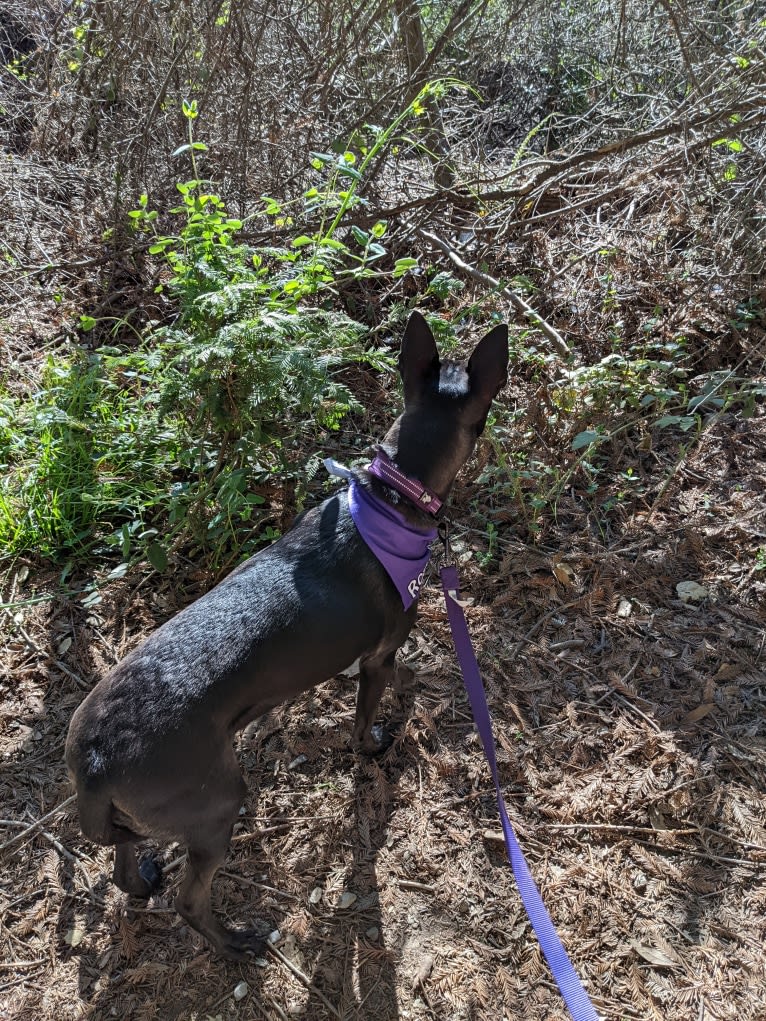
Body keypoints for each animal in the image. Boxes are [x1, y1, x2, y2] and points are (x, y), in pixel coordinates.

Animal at [65, 312, 510, 955]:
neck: (393, 496)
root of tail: (95, 762)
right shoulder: (376, 657)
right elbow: (368, 719)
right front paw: (382, 738)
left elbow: (407, 675)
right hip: (216, 804)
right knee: (190, 900)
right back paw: (235, 944)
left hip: (143, 817)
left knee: (125, 867)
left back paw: (145, 879)